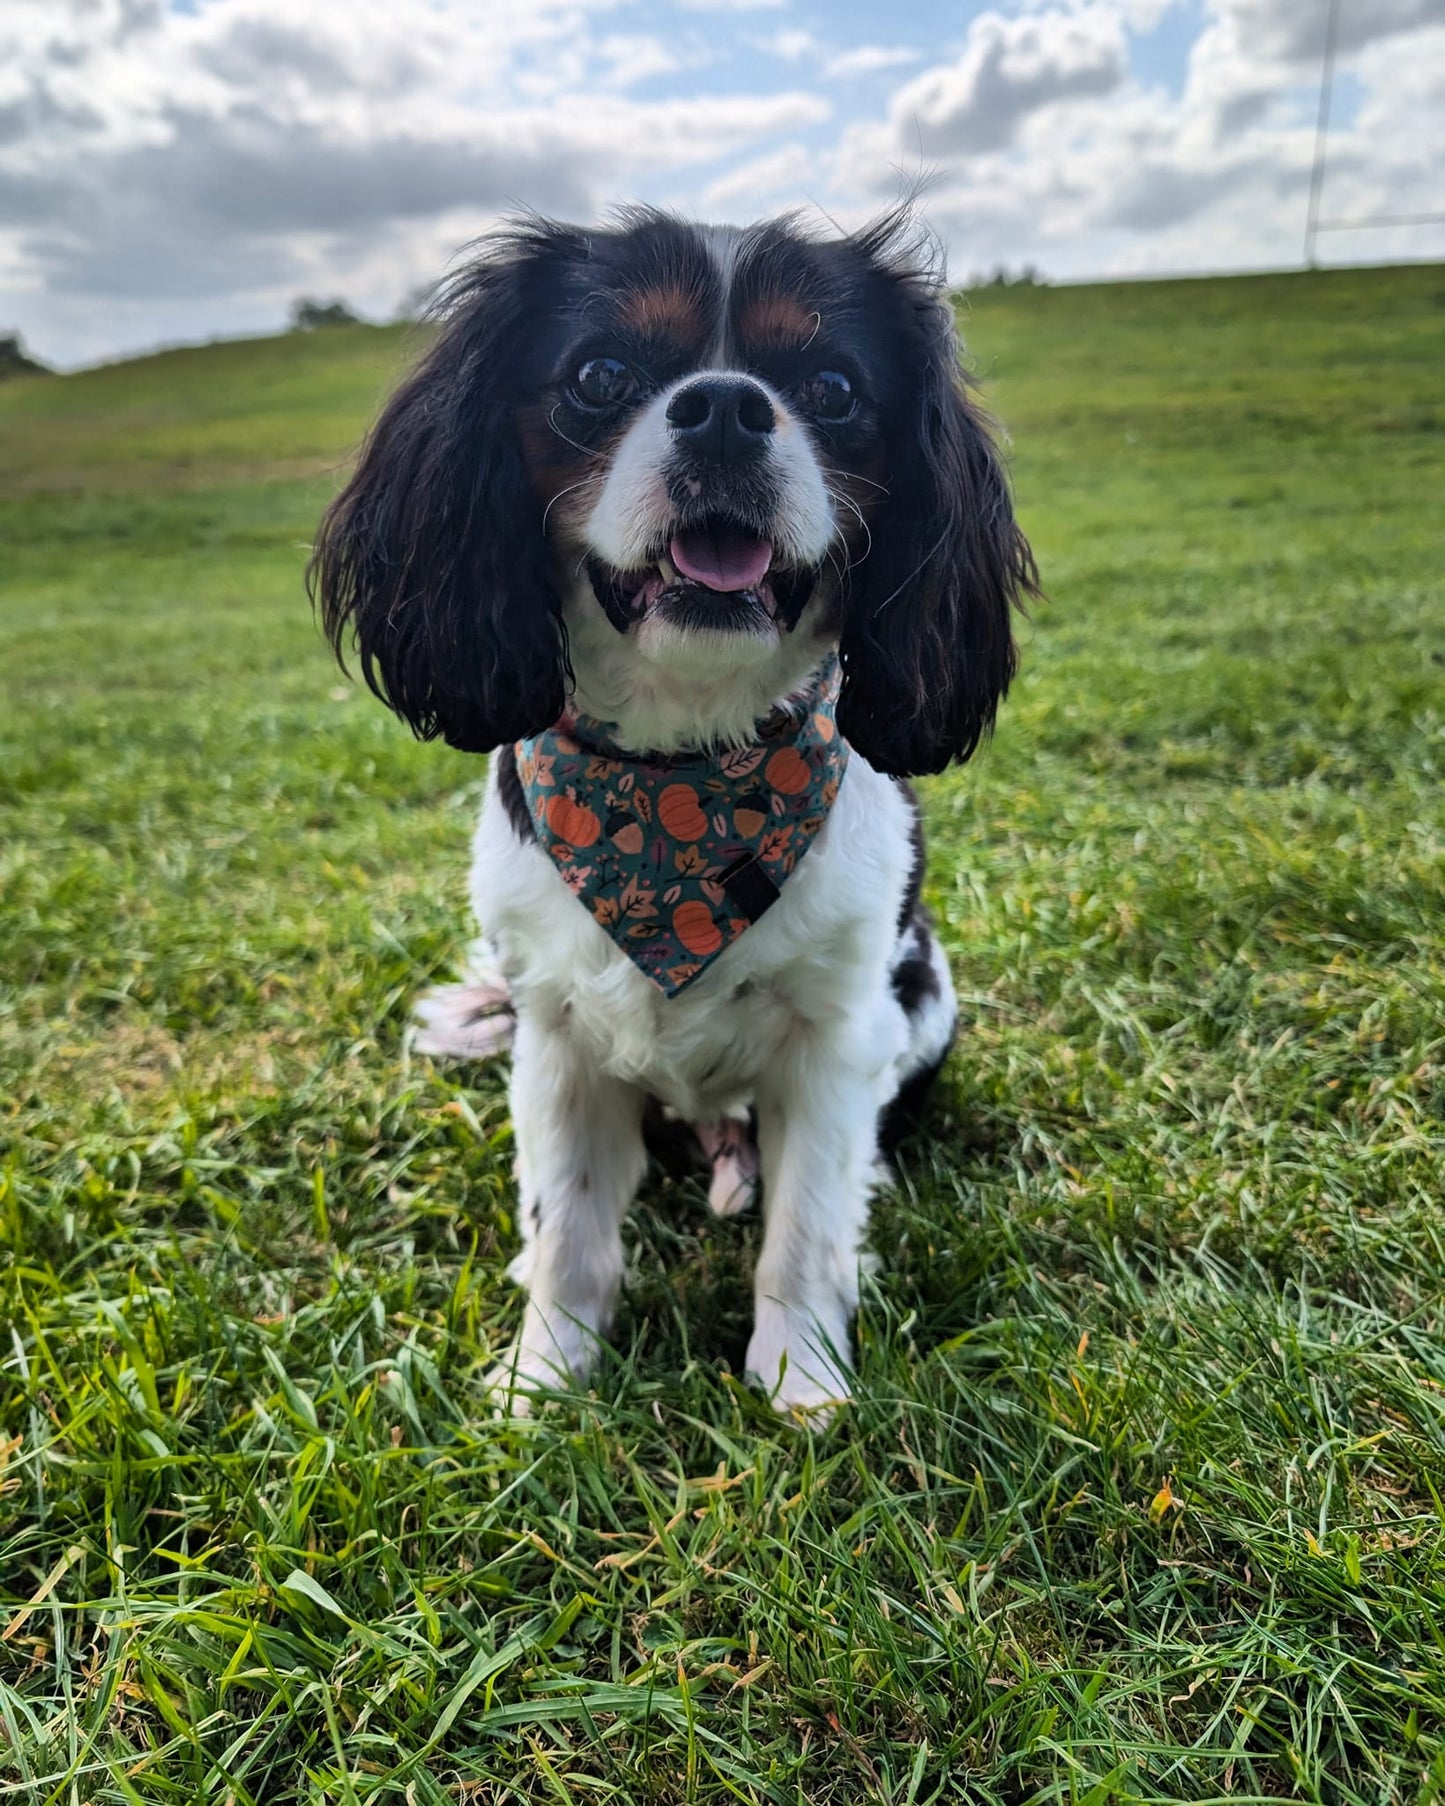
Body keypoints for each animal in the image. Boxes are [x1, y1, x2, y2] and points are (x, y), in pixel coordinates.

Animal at [312, 207, 1040, 1408]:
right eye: (601, 374)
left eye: (831, 387)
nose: (728, 407)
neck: (678, 788)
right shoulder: (554, 1042)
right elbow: (568, 1226)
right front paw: (544, 1383)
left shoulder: (838, 1038)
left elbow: (804, 1230)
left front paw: (802, 1382)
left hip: (925, 999)